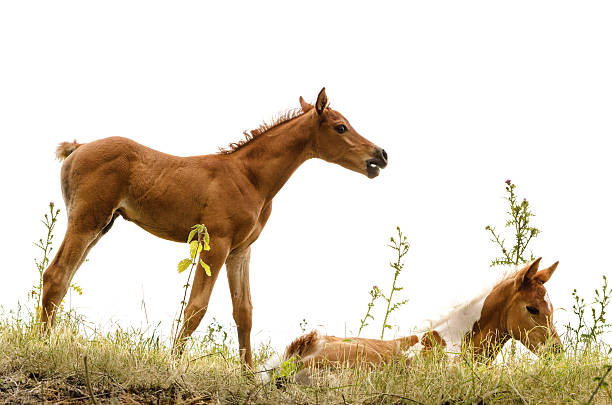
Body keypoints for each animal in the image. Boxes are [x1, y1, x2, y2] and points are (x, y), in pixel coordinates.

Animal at [41, 88, 388, 366]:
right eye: (341, 127)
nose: (381, 155)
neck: (249, 177)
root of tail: (78, 147)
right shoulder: (216, 242)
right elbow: (196, 307)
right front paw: (173, 364)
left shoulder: (241, 250)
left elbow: (244, 312)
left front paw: (248, 376)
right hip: (87, 220)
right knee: (55, 274)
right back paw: (41, 343)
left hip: (101, 226)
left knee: (63, 276)